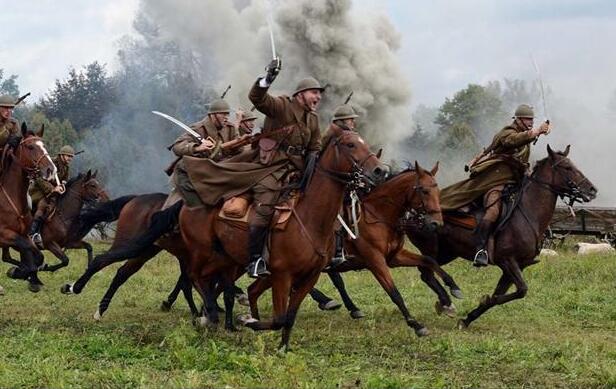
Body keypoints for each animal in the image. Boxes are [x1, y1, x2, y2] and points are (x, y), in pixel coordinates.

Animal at [0, 123, 57, 292]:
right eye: (30, 147)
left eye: (44, 145)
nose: (51, 170)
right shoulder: (5, 235)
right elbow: (30, 255)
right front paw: (22, 272)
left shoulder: (24, 235)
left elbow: (37, 256)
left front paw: (29, 276)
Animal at [178, 130, 388, 348]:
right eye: (350, 144)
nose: (381, 170)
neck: (310, 217)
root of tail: (187, 202)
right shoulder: (282, 275)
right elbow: (279, 319)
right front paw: (247, 320)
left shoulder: (309, 277)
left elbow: (289, 317)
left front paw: (282, 347)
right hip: (202, 251)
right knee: (194, 276)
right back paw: (209, 314)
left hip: (225, 258)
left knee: (213, 282)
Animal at [243, 161, 464, 334]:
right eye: (424, 191)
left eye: (437, 190)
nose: (436, 224)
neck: (378, 214)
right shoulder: (375, 261)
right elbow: (393, 292)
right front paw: (416, 324)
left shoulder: (394, 257)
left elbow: (429, 260)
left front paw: (451, 293)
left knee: (253, 290)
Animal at [410, 146, 596, 328]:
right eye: (567, 167)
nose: (592, 190)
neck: (528, 212)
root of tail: (411, 212)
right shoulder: (508, 261)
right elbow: (521, 290)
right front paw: (482, 302)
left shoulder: (518, 266)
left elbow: (502, 293)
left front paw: (470, 317)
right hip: (432, 249)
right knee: (426, 272)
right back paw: (446, 303)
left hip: (447, 253)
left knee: (424, 272)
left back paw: (444, 303)